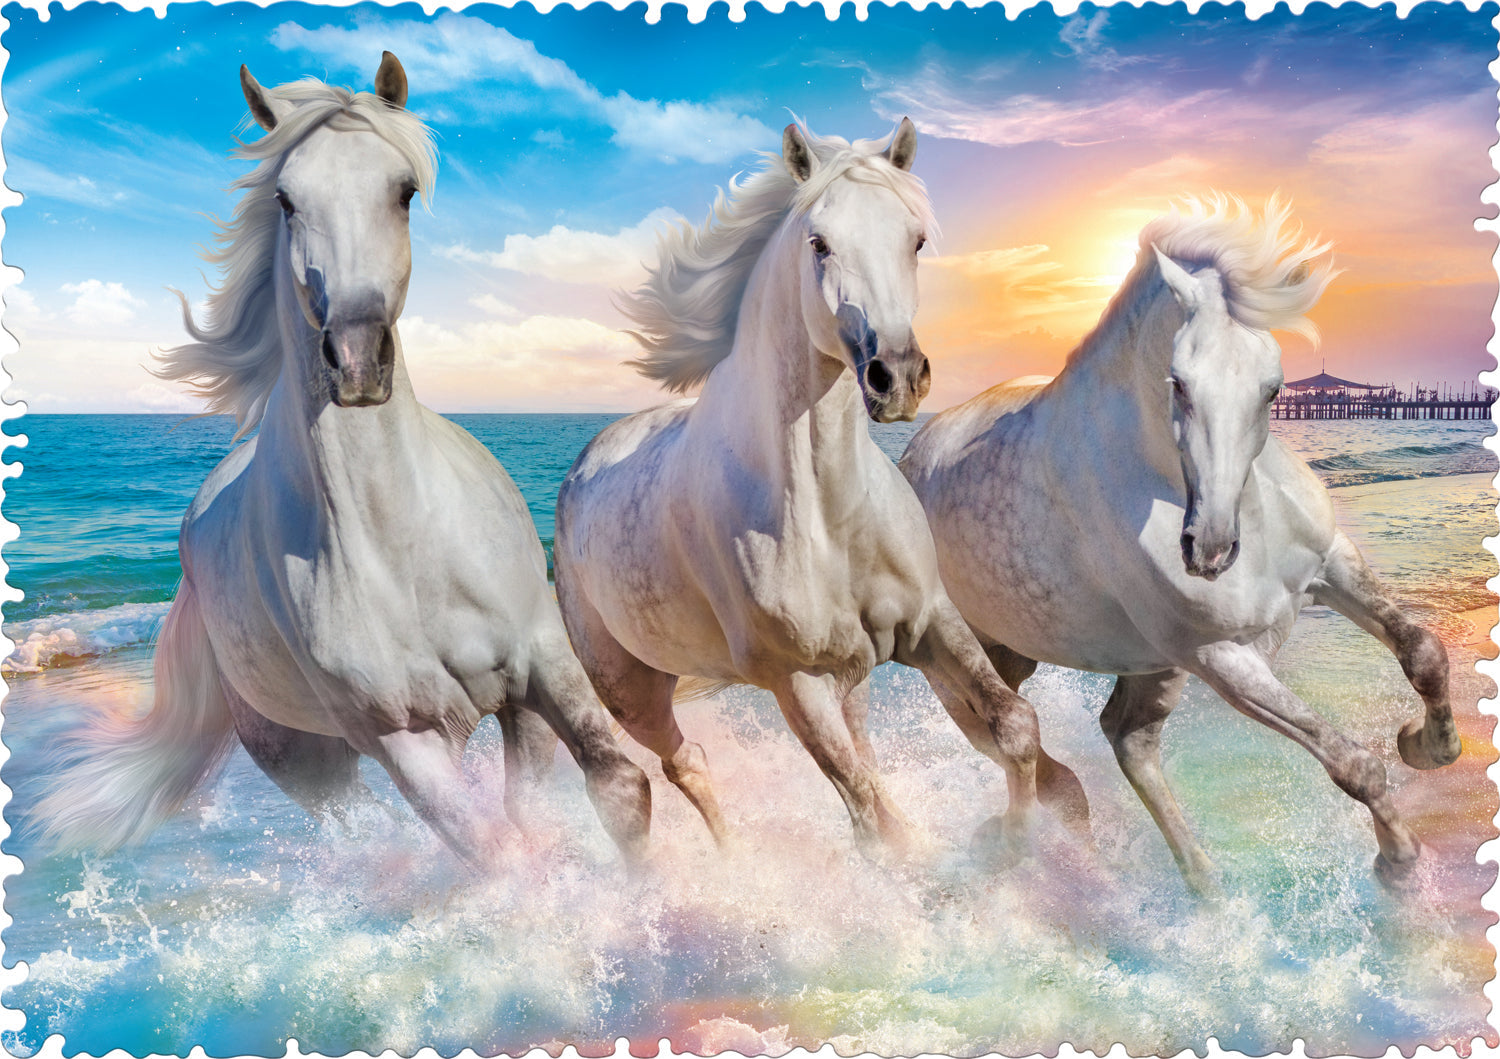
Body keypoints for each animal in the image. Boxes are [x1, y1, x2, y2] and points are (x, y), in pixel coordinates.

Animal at [33, 55, 651, 870]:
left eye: (405, 191)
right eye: (287, 199)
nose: (356, 357)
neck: (405, 546)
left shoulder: (540, 668)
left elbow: (617, 792)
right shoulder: (404, 741)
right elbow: (505, 855)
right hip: (309, 761)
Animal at [552, 121, 1089, 859]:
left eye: (915, 239)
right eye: (819, 242)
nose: (897, 376)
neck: (826, 513)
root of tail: (584, 466)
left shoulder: (931, 621)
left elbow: (1014, 726)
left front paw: (1015, 840)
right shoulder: (794, 680)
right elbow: (868, 817)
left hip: (850, 672)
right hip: (633, 689)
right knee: (680, 766)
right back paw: (733, 867)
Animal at [900, 194, 1460, 896]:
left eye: (1274, 389)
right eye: (1179, 382)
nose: (1209, 549)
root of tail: (913, 455)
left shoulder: (1332, 567)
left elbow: (1424, 652)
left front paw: (1427, 745)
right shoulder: (1219, 656)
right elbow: (1351, 762)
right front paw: (1399, 862)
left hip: (1119, 661)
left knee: (1127, 740)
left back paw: (1204, 890)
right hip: (960, 661)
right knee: (1012, 737)